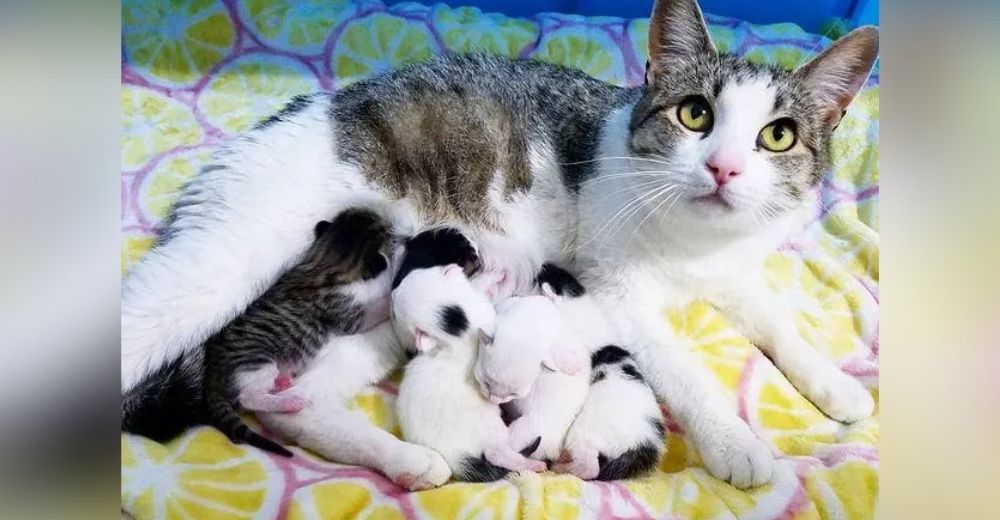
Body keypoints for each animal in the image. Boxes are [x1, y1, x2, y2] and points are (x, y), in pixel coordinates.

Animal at [201, 207, 392, 456]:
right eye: (381, 226)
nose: (388, 223)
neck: (324, 260)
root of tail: (210, 376)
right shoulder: (345, 313)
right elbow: (371, 311)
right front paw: (391, 297)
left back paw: (282, 382)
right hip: (255, 361)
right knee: (247, 397)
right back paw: (288, 402)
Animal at [392, 266, 548, 482]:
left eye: (404, 282)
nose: (391, 293)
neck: (462, 327)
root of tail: (455, 458)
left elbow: (480, 285)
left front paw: (498, 275)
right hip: (490, 427)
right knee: (494, 452)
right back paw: (530, 463)